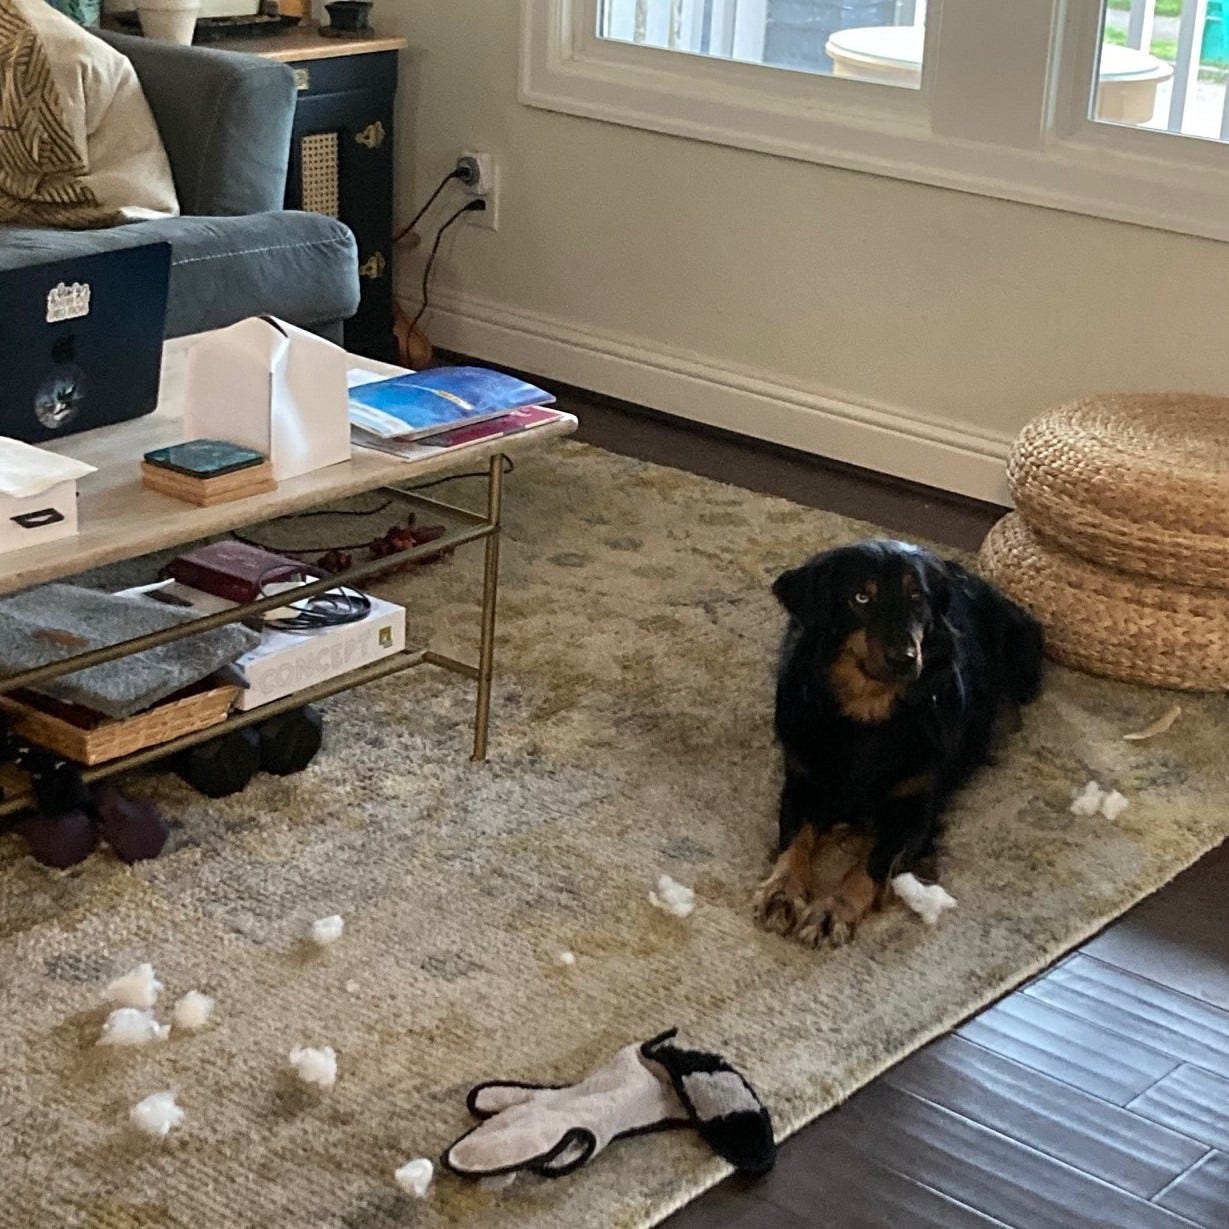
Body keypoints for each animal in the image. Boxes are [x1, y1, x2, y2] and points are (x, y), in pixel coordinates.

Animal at [752, 538, 1042, 948]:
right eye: (861, 598)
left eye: (916, 596)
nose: (905, 659)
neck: (866, 720)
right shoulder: (803, 783)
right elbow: (795, 841)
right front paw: (782, 891)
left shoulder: (914, 811)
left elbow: (871, 862)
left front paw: (832, 910)